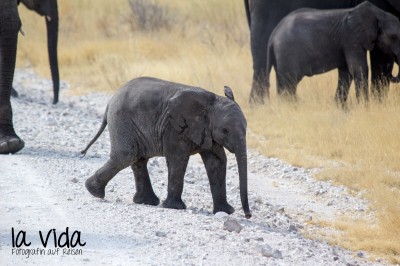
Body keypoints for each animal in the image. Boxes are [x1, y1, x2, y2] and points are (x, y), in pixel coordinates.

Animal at [80, 77, 252, 218]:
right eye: (225, 130)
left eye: (246, 128)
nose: (248, 215)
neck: (212, 101)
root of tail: (111, 100)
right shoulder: (174, 127)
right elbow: (178, 159)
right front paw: (175, 207)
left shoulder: (207, 131)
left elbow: (216, 162)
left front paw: (226, 212)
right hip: (121, 120)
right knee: (126, 156)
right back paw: (94, 191)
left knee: (138, 159)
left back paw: (146, 201)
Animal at [245, 0, 400, 104]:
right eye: (394, 37)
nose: (392, 75)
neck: (377, 14)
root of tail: (273, 38)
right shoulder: (351, 39)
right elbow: (360, 68)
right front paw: (365, 106)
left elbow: (346, 72)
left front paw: (341, 107)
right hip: (286, 51)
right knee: (288, 82)